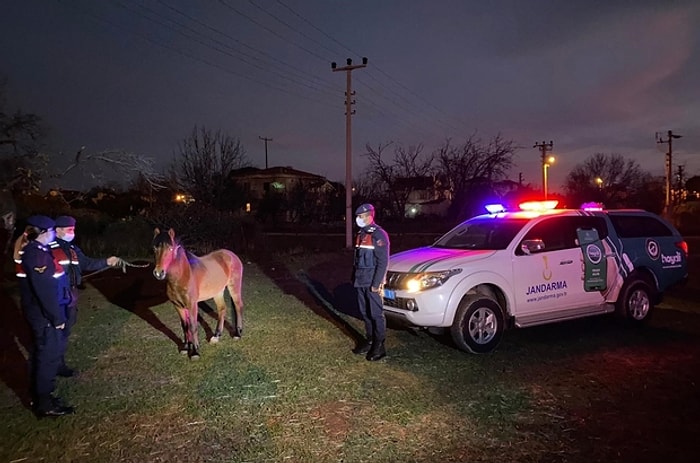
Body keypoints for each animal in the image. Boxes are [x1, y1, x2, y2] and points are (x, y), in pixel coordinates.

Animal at [152, 228, 245, 358]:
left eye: (170, 249)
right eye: (154, 248)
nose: (158, 273)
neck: (183, 276)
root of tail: (231, 255)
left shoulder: (192, 305)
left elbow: (193, 326)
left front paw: (195, 352)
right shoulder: (178, 306)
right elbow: (185, 327)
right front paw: (186, 348)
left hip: (234, 287)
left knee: (238, 306)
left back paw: (237, 334)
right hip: (217, 292)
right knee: (222, 309)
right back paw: (216, 336)